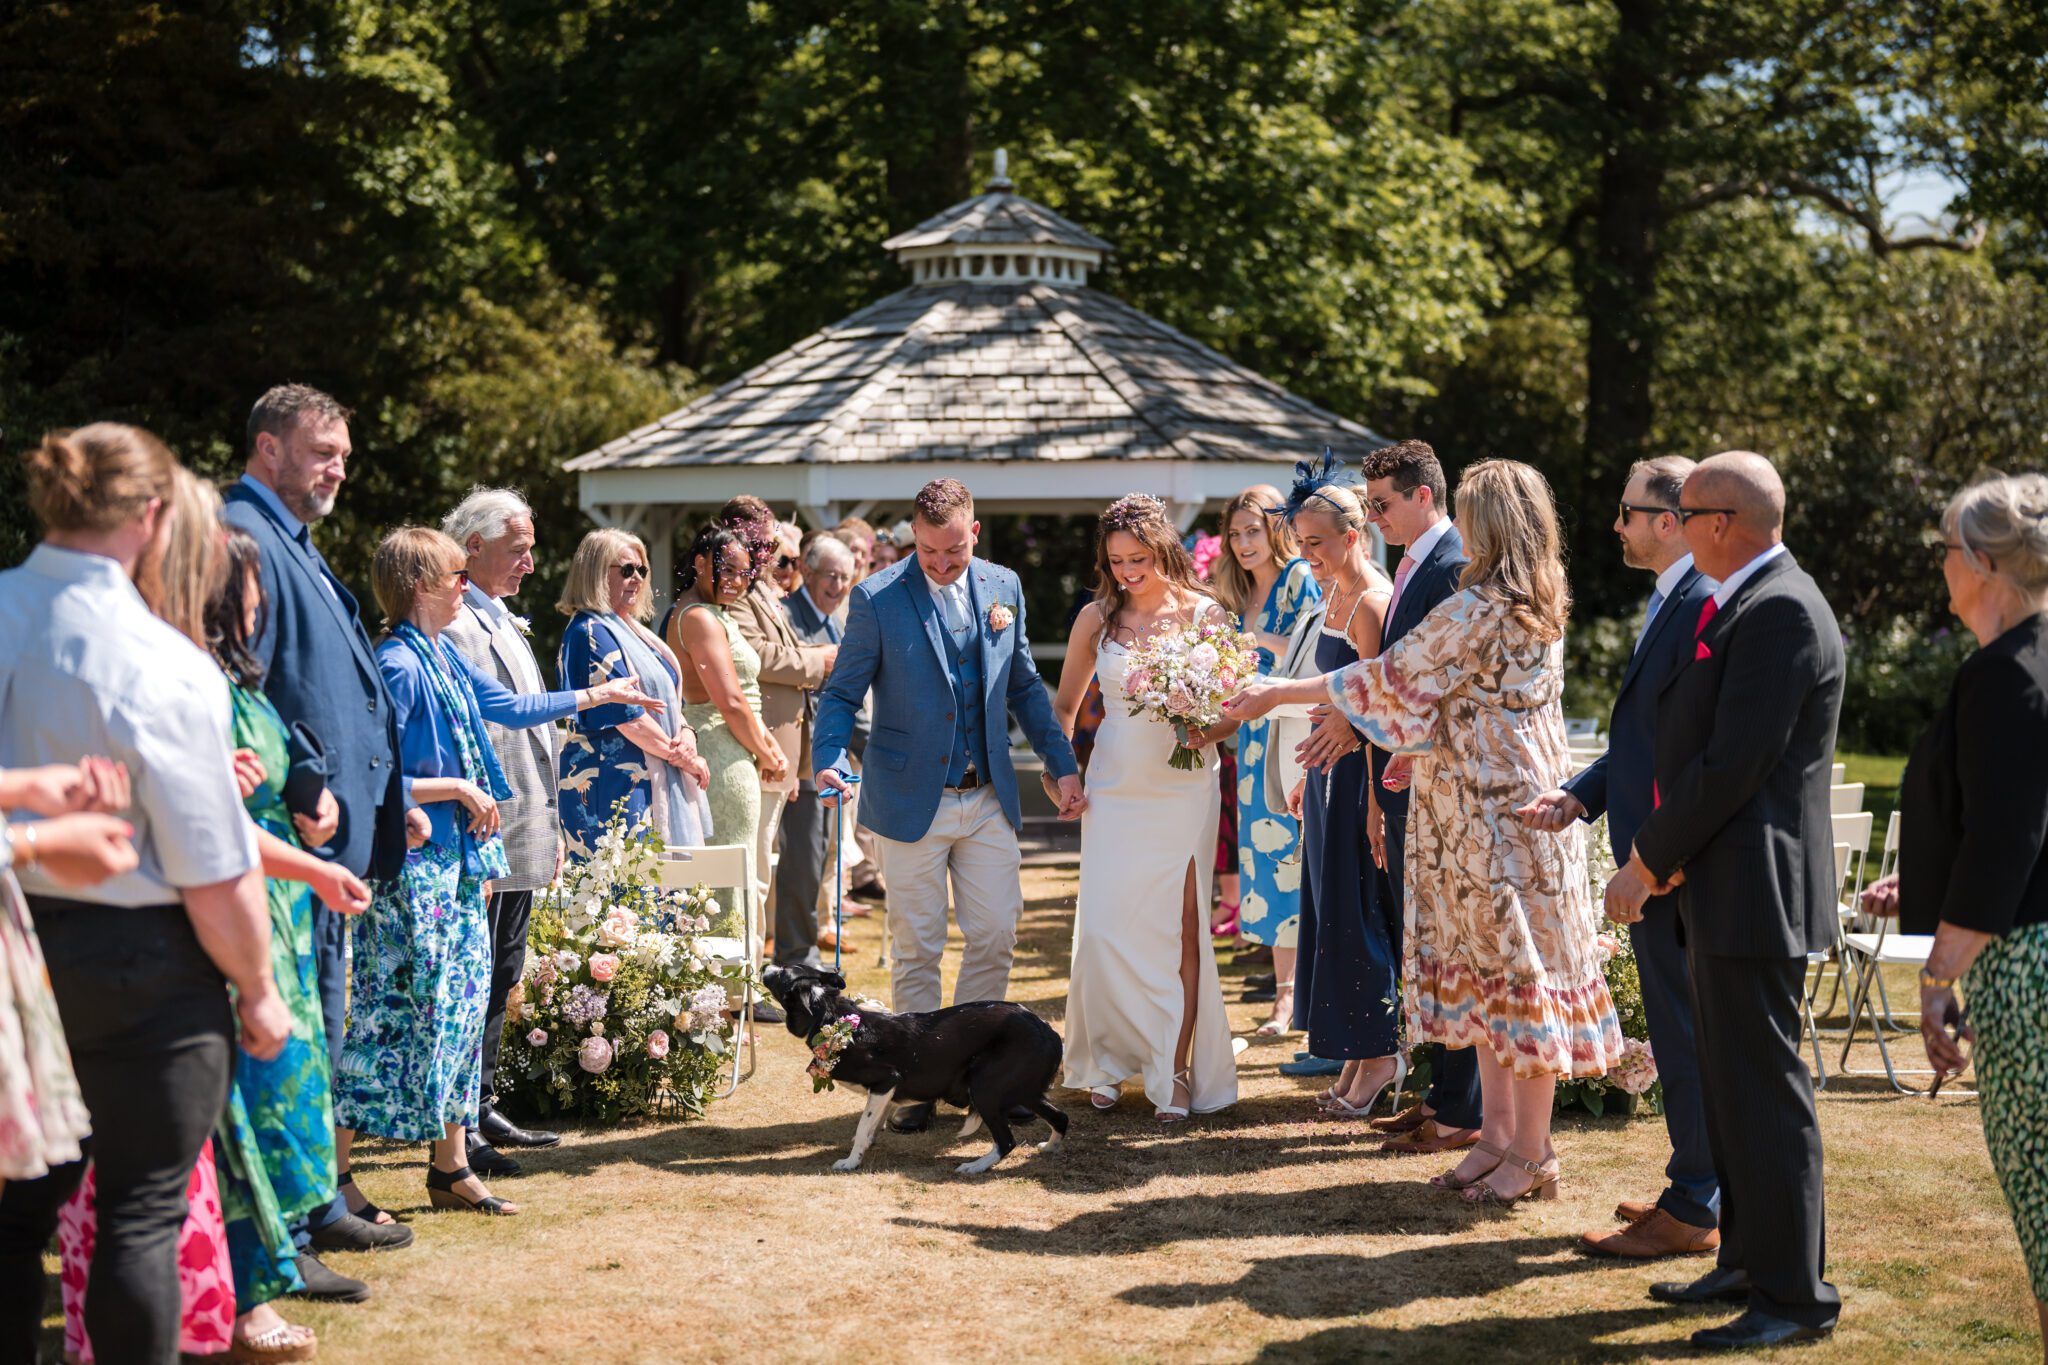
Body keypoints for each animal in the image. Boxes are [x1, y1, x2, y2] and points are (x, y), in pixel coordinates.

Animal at [761, 963, 1069, 1175]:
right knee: (1061, 1118)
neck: (833, 1017)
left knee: (1006, 1141)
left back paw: (975, 1166)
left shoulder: (885, 1081)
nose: (764, 966)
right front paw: (864, 1148)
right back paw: (1050, 1147)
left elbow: (863, 1124)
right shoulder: (885, 1092)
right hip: (1024, 1091)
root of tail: (1049, 1030)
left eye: (782, 973)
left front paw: (850, 1162)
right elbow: (871, 1125)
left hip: (986, 1090)